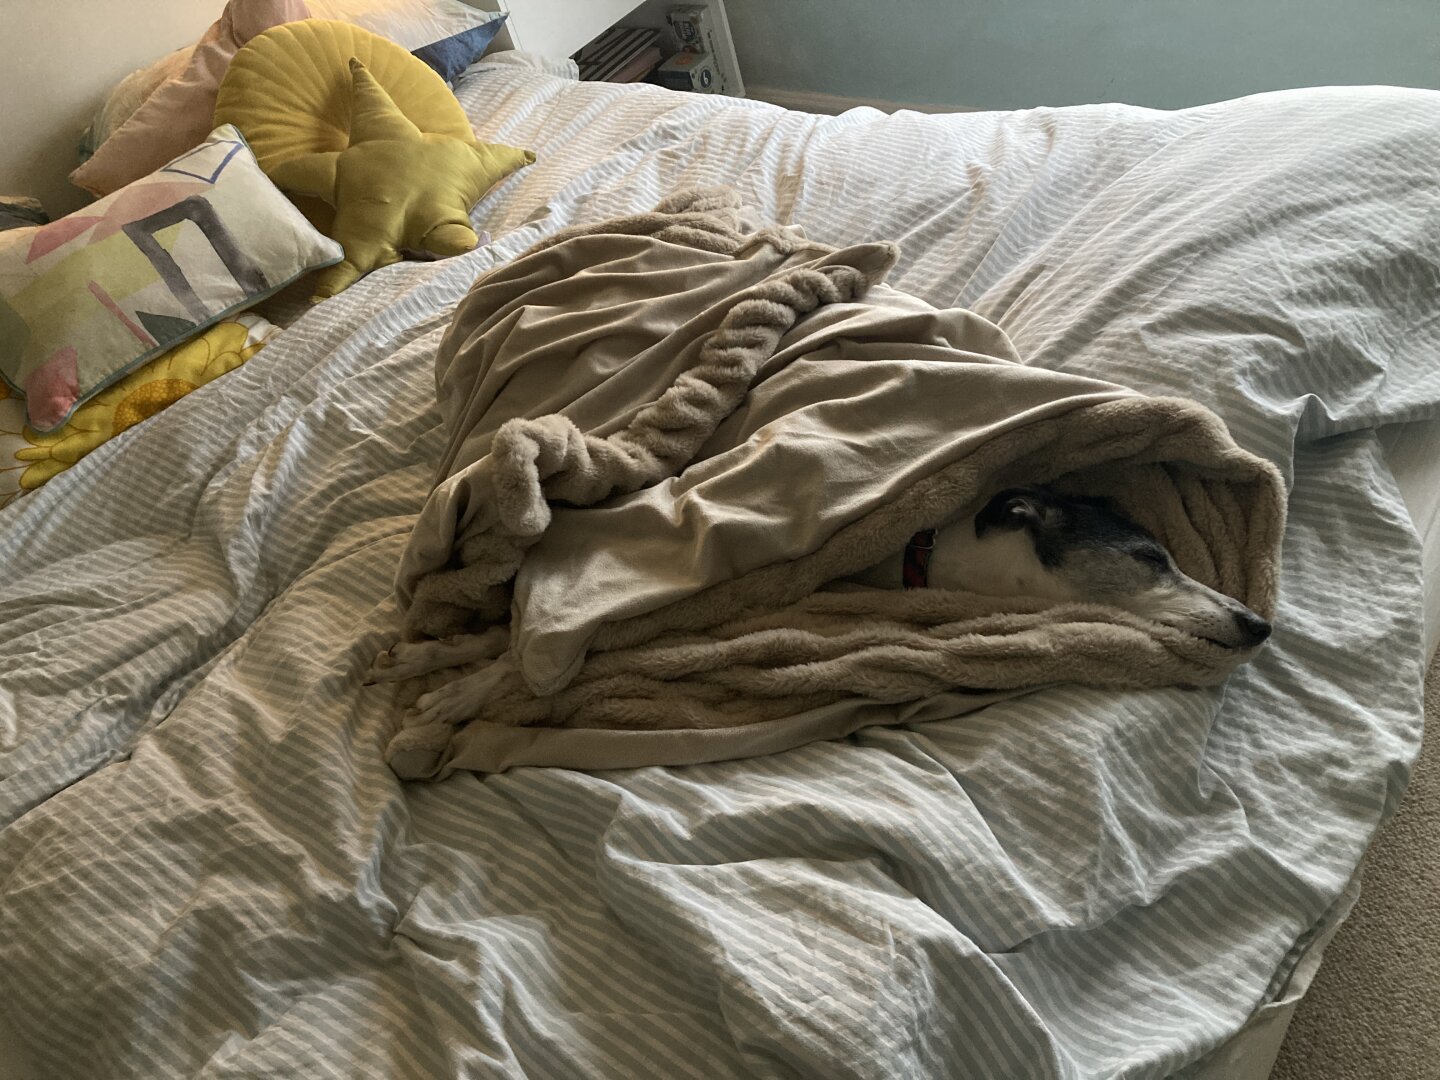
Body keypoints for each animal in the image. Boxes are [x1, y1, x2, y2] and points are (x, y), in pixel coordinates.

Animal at [371, 486, 1272, 722]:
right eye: (1152, 560)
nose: (1259, 623)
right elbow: (511, 651)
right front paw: (449, 677)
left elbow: (509, 651)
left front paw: (447, 675)